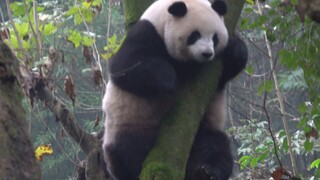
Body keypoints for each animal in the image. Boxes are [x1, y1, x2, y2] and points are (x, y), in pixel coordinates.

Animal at [102, 0, 248, 179]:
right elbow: (124, 66)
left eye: (215, 37)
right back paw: (134, 168)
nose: (207, 53)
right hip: (128, 123)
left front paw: (234, 47)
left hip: (203, 127)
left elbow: (232, 65)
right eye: (195, 35)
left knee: (214, 147)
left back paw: (207, 170)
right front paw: (168, 79)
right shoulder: (146, 33)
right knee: (127, 150)